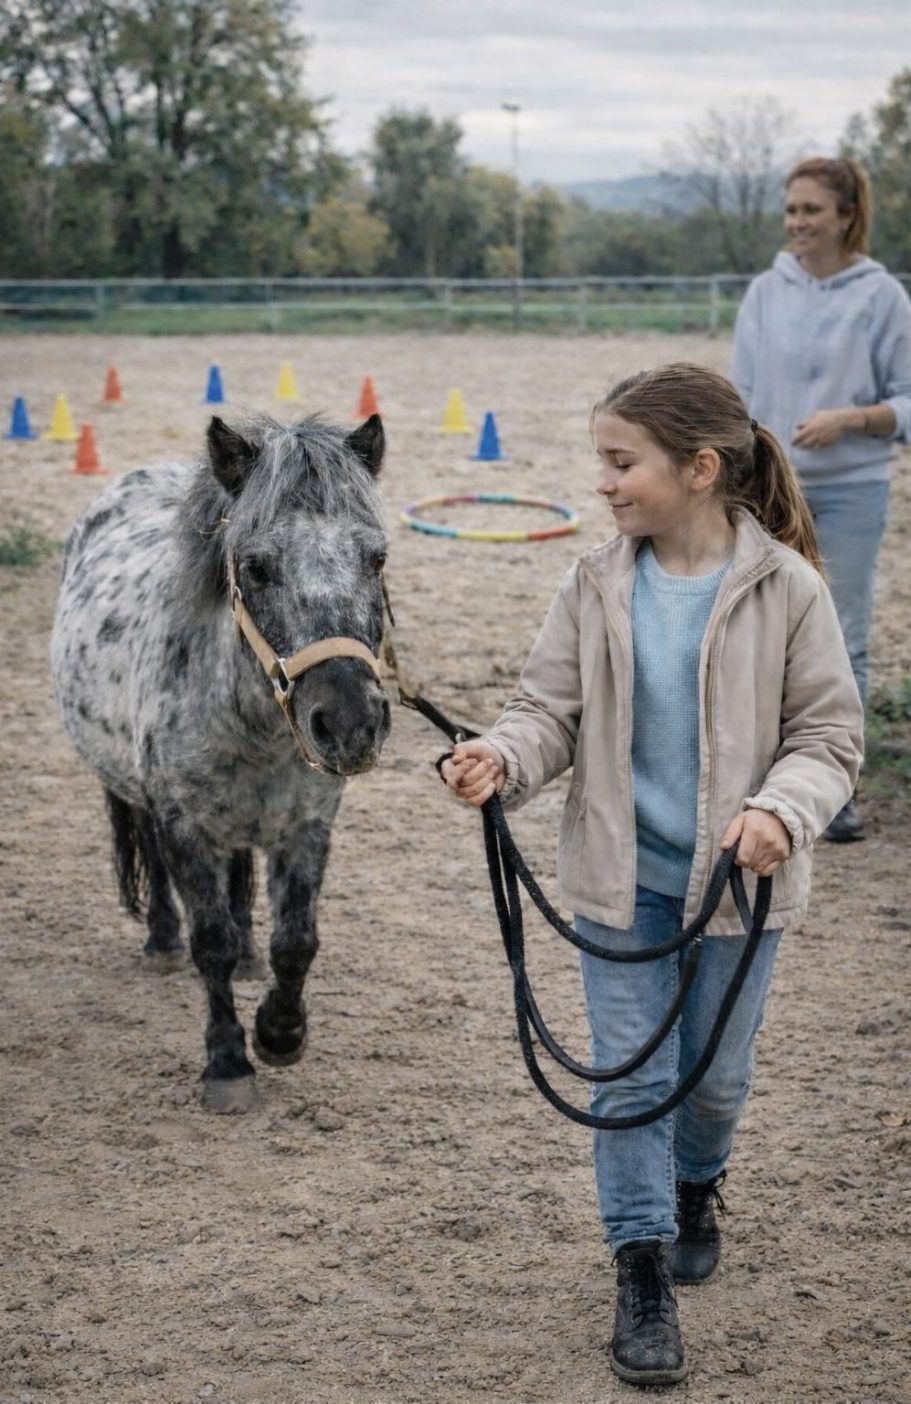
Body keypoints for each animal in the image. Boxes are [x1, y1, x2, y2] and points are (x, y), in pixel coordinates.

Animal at [51, 411, 391, 1112]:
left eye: (377, 559)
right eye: (255, 567)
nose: (349, 723)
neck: (256, 729)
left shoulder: (307, 826)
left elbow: (297, 940)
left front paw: (281, 1032)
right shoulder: (186, 827)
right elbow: (209, 941)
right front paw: (229, 1063)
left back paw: (249, 956)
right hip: (135, 790)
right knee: (152, 859)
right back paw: (161, 942)